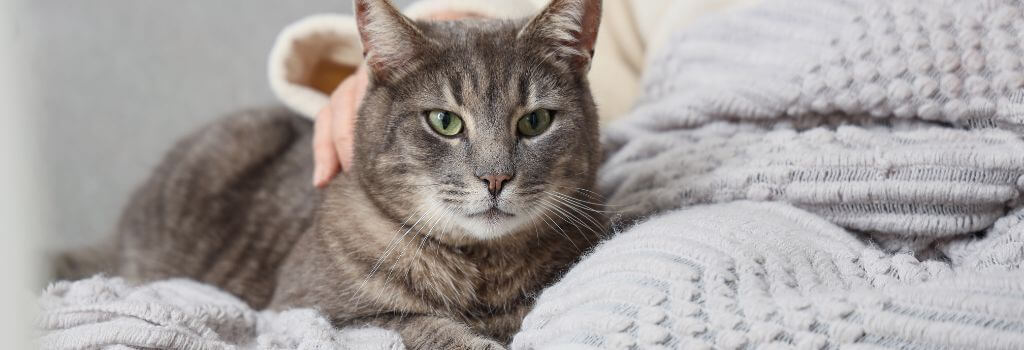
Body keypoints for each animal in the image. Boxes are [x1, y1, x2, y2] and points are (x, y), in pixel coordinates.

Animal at [56, 0, 602, 347]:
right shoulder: (319, 312)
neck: (480, 270)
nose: (495, 178)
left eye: (534, 121)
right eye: (444, 121)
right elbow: (424, 326)